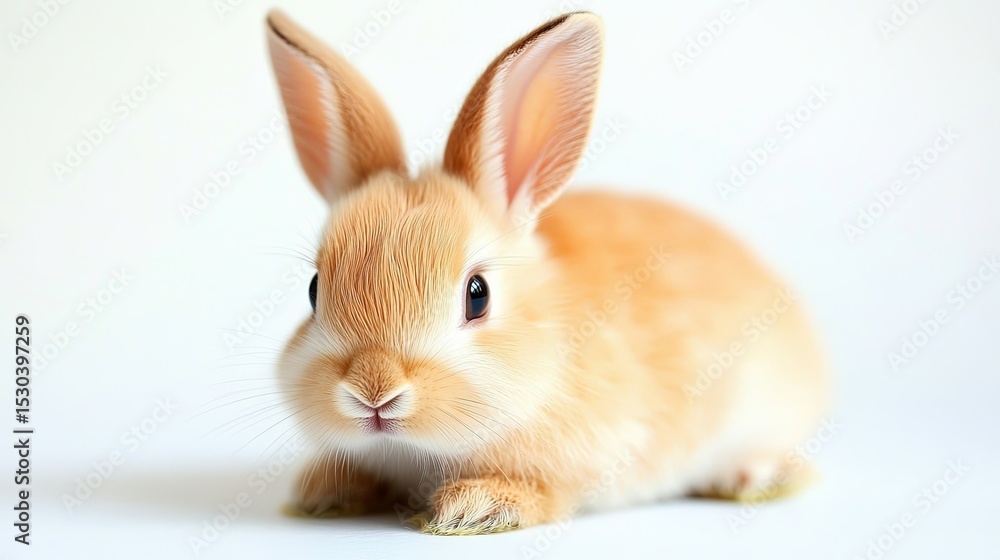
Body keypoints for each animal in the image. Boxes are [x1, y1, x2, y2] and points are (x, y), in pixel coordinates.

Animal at [266, 9, 829, 535]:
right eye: (314, 291)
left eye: (477, 294)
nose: (374, 392)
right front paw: (322, 492)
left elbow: (549, 494)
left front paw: (474, 508)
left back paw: (753, 476)